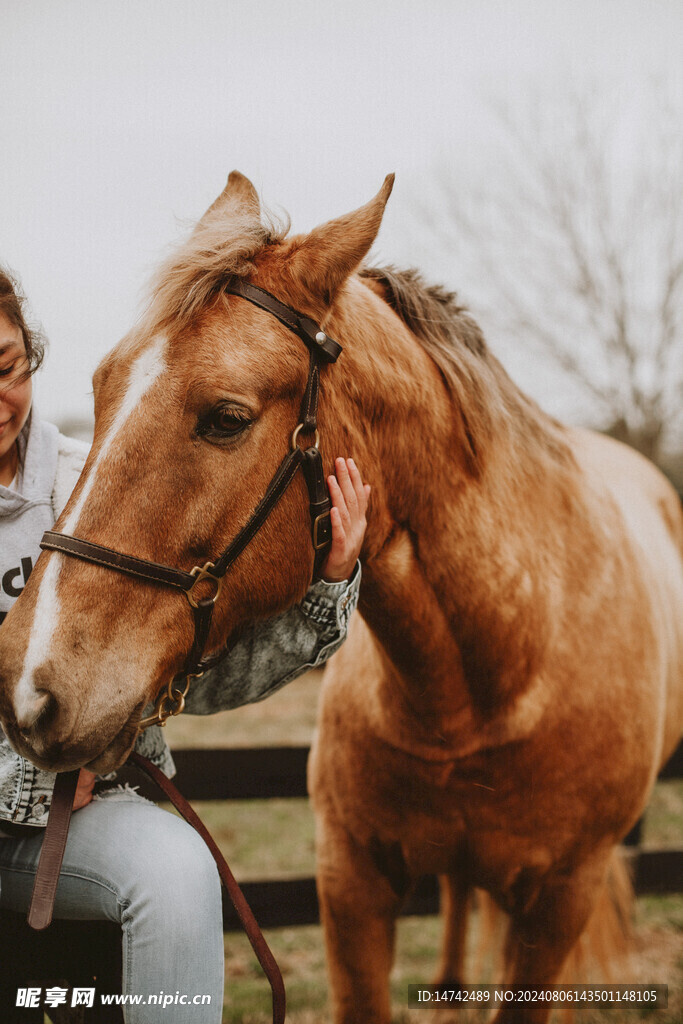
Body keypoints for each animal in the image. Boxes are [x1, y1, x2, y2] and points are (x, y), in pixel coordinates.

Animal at [0, 173, 682, 1024]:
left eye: (226, 419)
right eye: (100, 389)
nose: (30, 686)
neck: (496, 675)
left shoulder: (558, 902)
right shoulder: (350, 884)